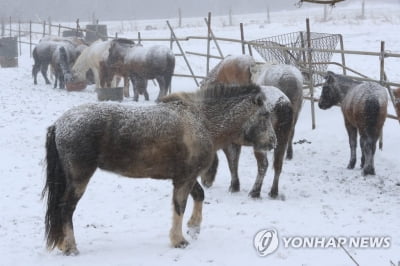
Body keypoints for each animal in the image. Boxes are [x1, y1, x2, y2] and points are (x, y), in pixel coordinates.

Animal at [42, 83, 276, 256]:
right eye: (265, 114)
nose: (273, 142)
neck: (202, 120)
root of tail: (59, 124)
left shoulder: (186, 176)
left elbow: (199, 195)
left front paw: (194, 227)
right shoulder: (184, 179)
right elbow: (180, 206)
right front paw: (179, 239)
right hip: (79, 179)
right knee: (66, 209)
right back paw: (71, 247)